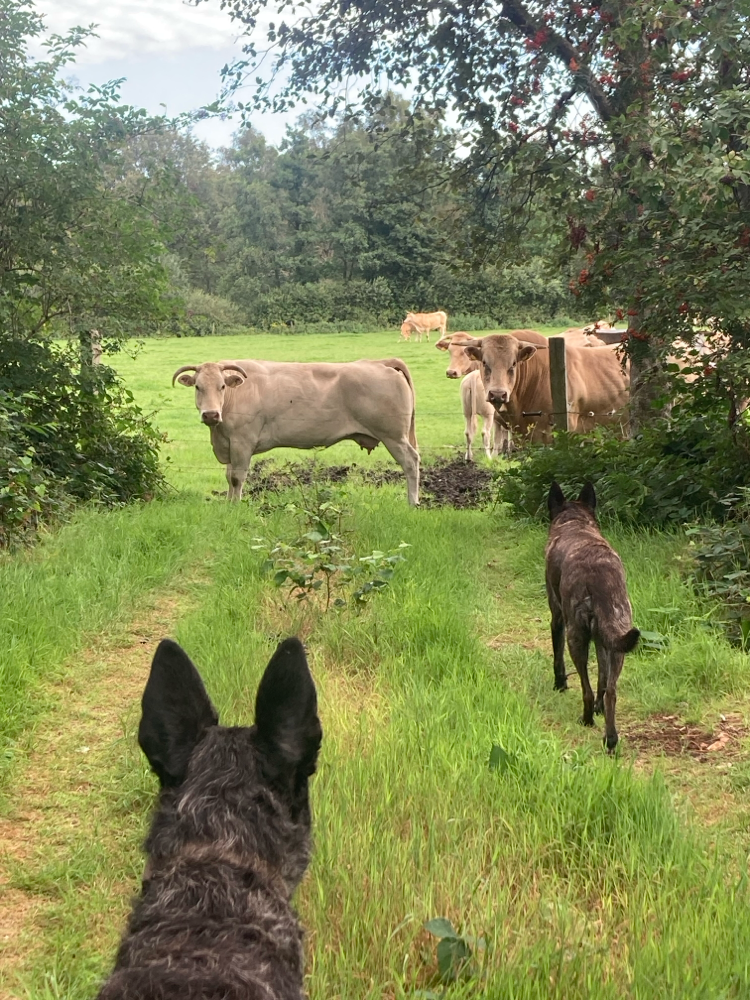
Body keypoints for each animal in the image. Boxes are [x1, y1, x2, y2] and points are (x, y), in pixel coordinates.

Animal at [172, 358, 420, 505]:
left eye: (222, 386)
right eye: (198, 387)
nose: (211, 414)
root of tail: (379, 362)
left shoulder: (243, 441)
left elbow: (236, 478)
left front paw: (235, 506)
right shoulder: (230, 443)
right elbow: (228, 476)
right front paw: (228, 505)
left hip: (394, 437)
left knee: (411, 462)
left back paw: (412, 502)